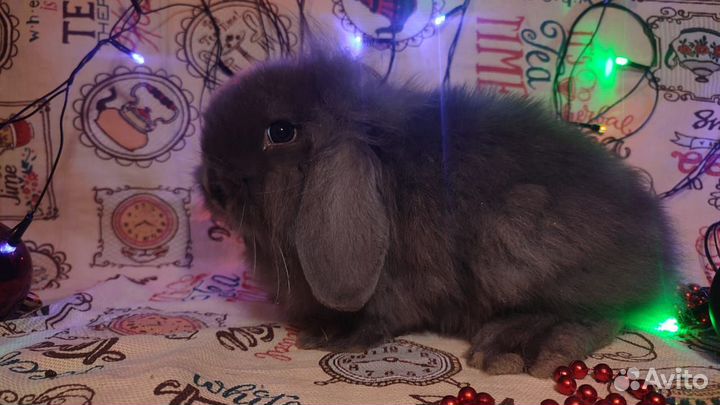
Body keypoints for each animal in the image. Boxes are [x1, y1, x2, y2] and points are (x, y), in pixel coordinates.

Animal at [196, 46, 680, 377]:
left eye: (280, 132)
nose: (210, 186)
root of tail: (661, 255)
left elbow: (380, 317)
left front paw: (334, 336)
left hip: (516, 242)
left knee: (604, 310)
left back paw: (522, 345)